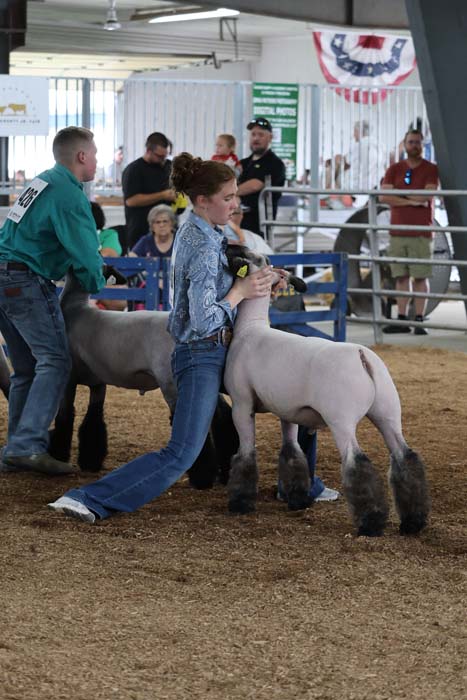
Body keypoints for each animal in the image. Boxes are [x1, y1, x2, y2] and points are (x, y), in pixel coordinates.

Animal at [48, 268, 236, 488]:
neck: (75, 308)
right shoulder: (98, 381)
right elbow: (93, 418)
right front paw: (90, 462)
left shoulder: (68, 378)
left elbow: (65, 417)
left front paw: (59, 455)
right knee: (222, 416)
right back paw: (224, 473)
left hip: (171, 382)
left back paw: (202, 479)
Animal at [223, 246, 431, 537]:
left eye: (251, 255)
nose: (226, 245)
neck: (251, 327)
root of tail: (362, 356)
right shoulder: (287, 410)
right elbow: (292, 453)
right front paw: (298, 500)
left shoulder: (242, 404)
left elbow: (245, 455)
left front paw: (240, 503)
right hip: (388, 413)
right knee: (405, 457)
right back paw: (413, 522)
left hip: (341, 419)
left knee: (357, 463)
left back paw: (371, 524)